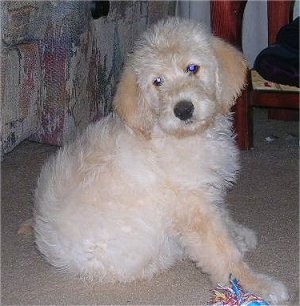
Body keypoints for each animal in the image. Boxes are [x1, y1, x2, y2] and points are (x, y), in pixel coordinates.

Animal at [32, 18, 288, 304]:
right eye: (158, 82)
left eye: (192, 68)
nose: (183, 110)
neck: (180, 135)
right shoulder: (192, 206)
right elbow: (222, 253)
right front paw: (258, 286)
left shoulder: (207, 190)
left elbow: (223, 217)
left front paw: (239, 234)